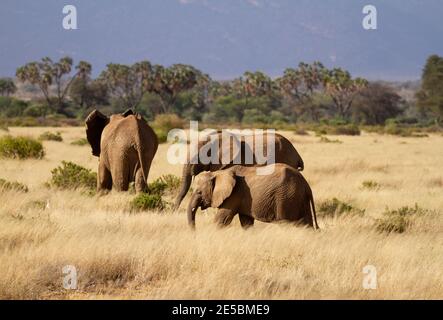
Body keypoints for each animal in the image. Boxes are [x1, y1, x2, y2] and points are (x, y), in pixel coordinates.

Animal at [186, 165, 320, 230]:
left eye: (199, 192)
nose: (194, 233)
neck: (219, 173)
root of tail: (306, 184)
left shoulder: (234, 195)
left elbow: (222, 220)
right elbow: (246, 222)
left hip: (286, 197)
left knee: (286, 223)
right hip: (299, 197)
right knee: (306, 224)